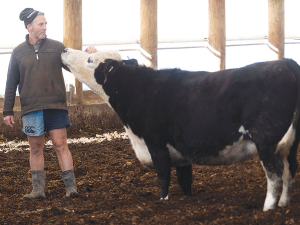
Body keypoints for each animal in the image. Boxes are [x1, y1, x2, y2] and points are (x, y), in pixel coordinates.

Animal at [61, 48, 300, 211]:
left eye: (90, 59)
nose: (64, 50)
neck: (140, 89)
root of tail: (284, 62)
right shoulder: (182, 151)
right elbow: (185, 179)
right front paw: (188, 198)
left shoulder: (155, 143)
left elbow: (163, 175)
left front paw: (163, 201)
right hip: (290, 142)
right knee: (290, 169)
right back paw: (284, 204)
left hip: (265, 140)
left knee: (274, 172)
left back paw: (268, 207)